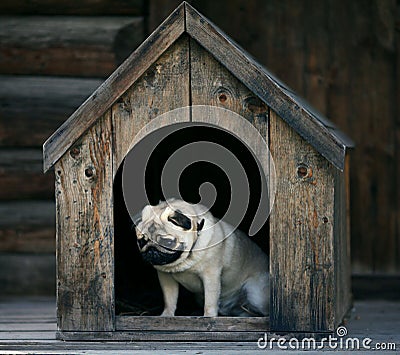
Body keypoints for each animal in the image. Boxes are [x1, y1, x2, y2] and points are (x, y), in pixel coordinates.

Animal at [134, 199, 268, 318]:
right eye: (141, 241)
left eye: (167, 242)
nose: (151, 250)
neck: (184, 260)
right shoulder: (166, 279)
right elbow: (169, 299)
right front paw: (167, 315)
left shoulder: (211, 276)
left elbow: (210, 301)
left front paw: (208, 317)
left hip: (255, 295)